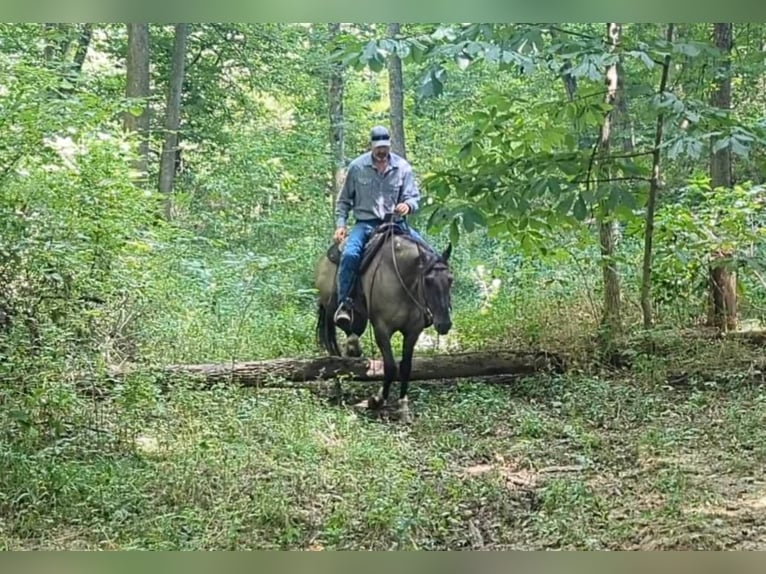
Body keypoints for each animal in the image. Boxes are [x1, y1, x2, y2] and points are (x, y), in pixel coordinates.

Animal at [314, 220, 456, 424]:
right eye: (427, 281)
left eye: (450, 279)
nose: (444, 324)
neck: (402, 280)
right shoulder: (382, 329)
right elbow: (389, 367)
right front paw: (376, 400)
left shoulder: (413, 331)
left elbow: (405, 368)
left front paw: (403, 409)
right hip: (331, 310)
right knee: (335, 352)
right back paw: (340, 391)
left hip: (359, 317)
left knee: (351, 335)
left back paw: (352, 350)